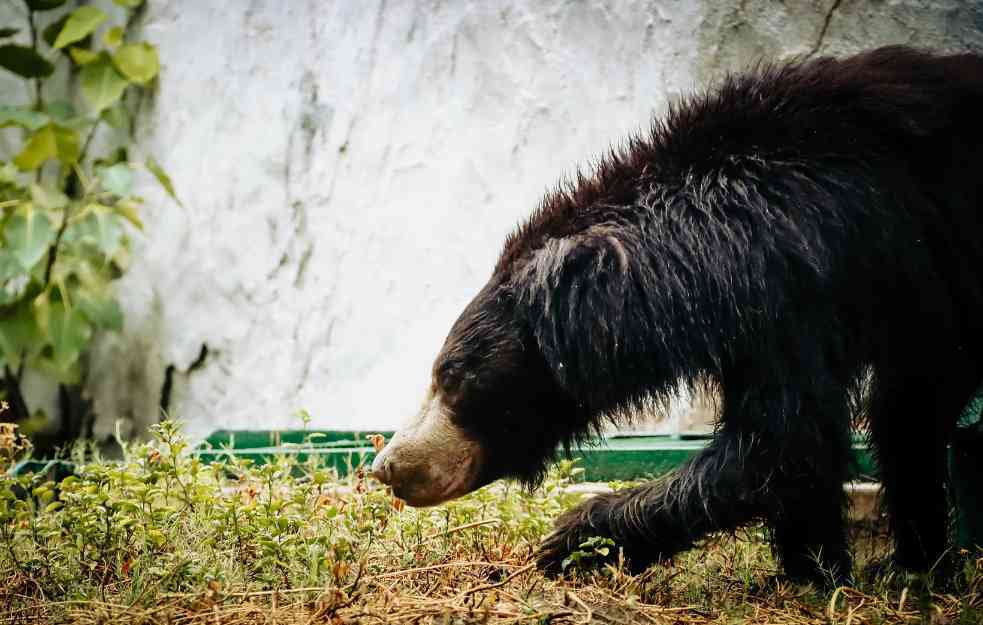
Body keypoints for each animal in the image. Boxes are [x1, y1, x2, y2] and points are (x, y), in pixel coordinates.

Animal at [370, 46, 983, 584]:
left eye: (451, 378)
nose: (386, 466)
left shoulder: (798, 291)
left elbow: (783, 440)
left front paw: (571, 538)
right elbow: (803, 441)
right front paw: (813, 571)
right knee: (908, 414)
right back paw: (920, 564)